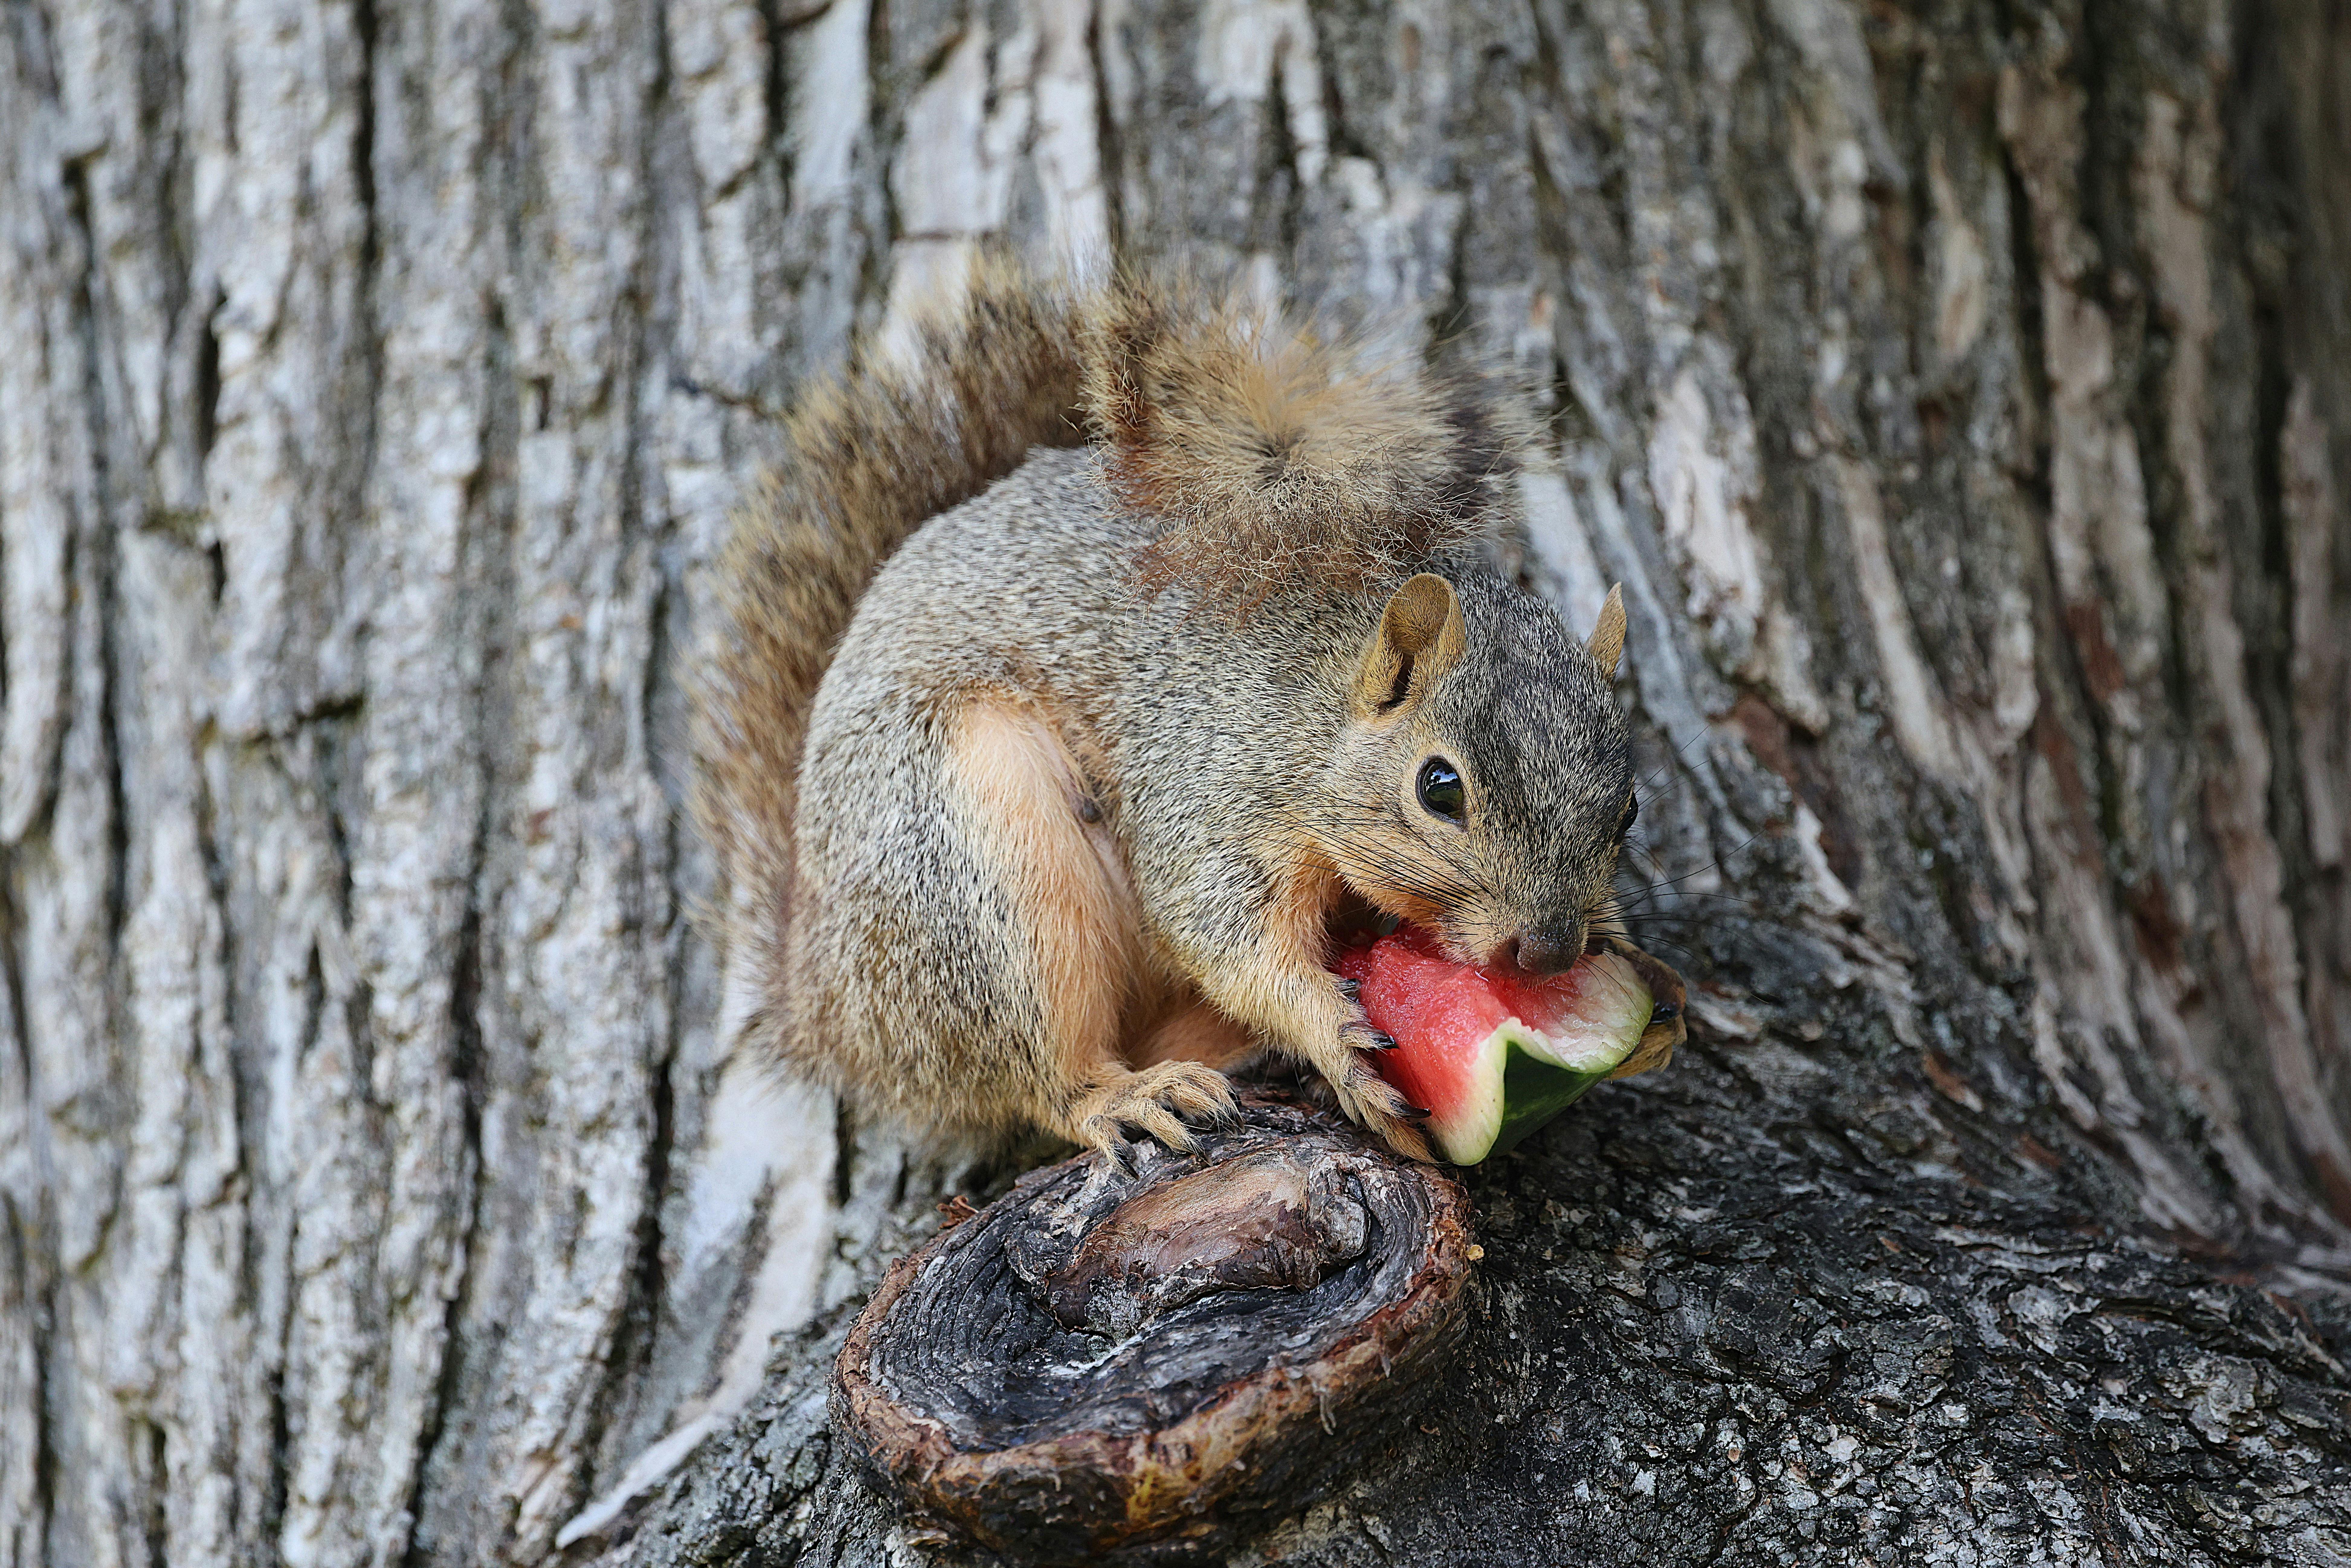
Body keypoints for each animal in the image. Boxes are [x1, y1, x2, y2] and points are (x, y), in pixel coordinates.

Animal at [690, 267, 1648, 1165]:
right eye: (1438, 788)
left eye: (1629, 806)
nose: (1547, 952)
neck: (1316, 698)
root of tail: (828, 1000)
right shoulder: (1209, 774)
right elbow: (1220, 929)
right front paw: (1330, 1035)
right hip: (975, 868)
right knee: (1038, 1069)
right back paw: (1124, 1094)